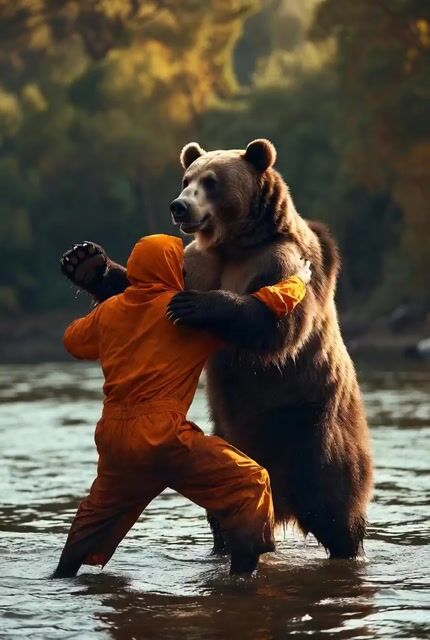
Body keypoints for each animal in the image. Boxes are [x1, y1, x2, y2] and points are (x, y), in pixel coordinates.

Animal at [61, 138, 373, 559]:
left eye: (210, 182)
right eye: (186, 179)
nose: (179, 206)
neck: (234, 244)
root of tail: (285, 507)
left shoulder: (278, 258)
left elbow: (278, 326)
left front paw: (195, 306)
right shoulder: (198, 261)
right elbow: (142, 287)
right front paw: (86, 261)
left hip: (315, 432)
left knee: (335, 506)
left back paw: (346, 542)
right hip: (231, 438)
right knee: (225, 514)